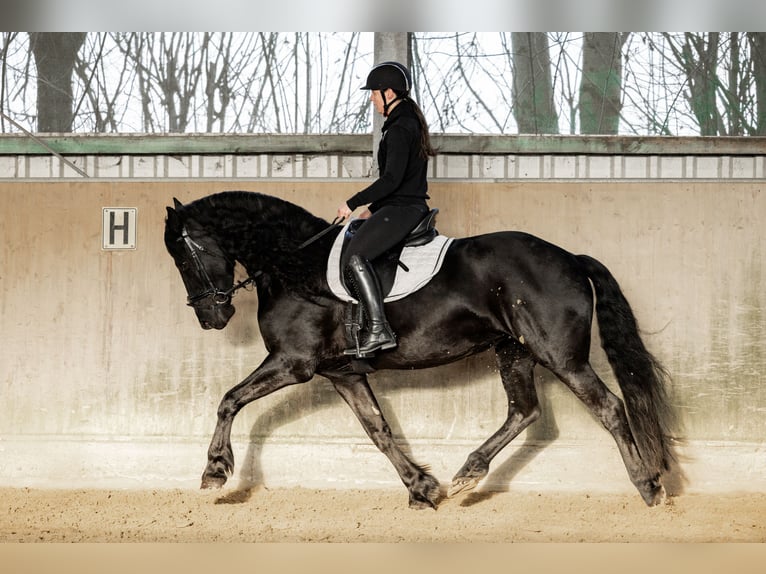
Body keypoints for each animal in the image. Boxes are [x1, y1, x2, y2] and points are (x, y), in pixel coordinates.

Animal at [164, 192, 680, 508]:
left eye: (185, 256)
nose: (211, 319)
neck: (295, 266)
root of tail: (571, 258)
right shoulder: (344, 373)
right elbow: (378, 431)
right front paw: (422, 488)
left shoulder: (294, 363)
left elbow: (229, 399)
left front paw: (214, 471)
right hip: (514, 351)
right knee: (525, 410)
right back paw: (469, 472)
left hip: (560, 356)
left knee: (608, 407)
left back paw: (649, 487)